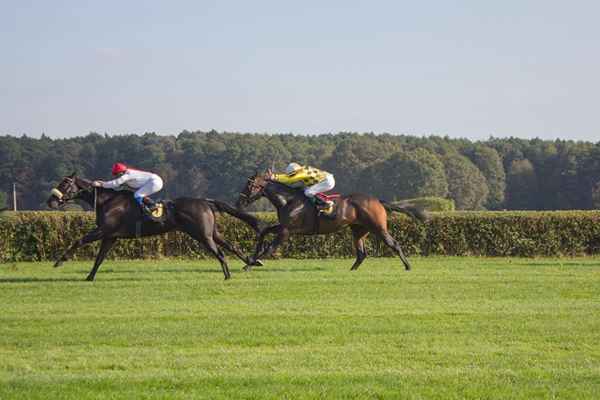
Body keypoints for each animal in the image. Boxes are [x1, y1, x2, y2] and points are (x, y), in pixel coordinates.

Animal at [45, 173, 262, 280]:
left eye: (65, 184)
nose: (50, 201)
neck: (107, 201)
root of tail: (205, 202)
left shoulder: (103, 231)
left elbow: (78, 241)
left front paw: (59, 261)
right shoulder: (110, 236)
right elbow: (99, 258)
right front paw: (89, 277)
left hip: (202, 235)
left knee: (221, 253)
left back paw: (227, 275)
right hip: (211, 232)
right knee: (230, 246)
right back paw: (252, 262)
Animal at [234, 170, 426, 274]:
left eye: (250, 185)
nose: (239, 202)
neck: (288, 200)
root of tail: (377, 200)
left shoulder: (287, 231)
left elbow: (270, 248)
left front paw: (249, 265)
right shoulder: (283, 227)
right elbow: (263, 232)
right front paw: (252, 260)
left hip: (378, 227)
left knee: (394, 244)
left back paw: (408, 266)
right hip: (358, 230)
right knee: (361, 254)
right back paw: (351, 270)